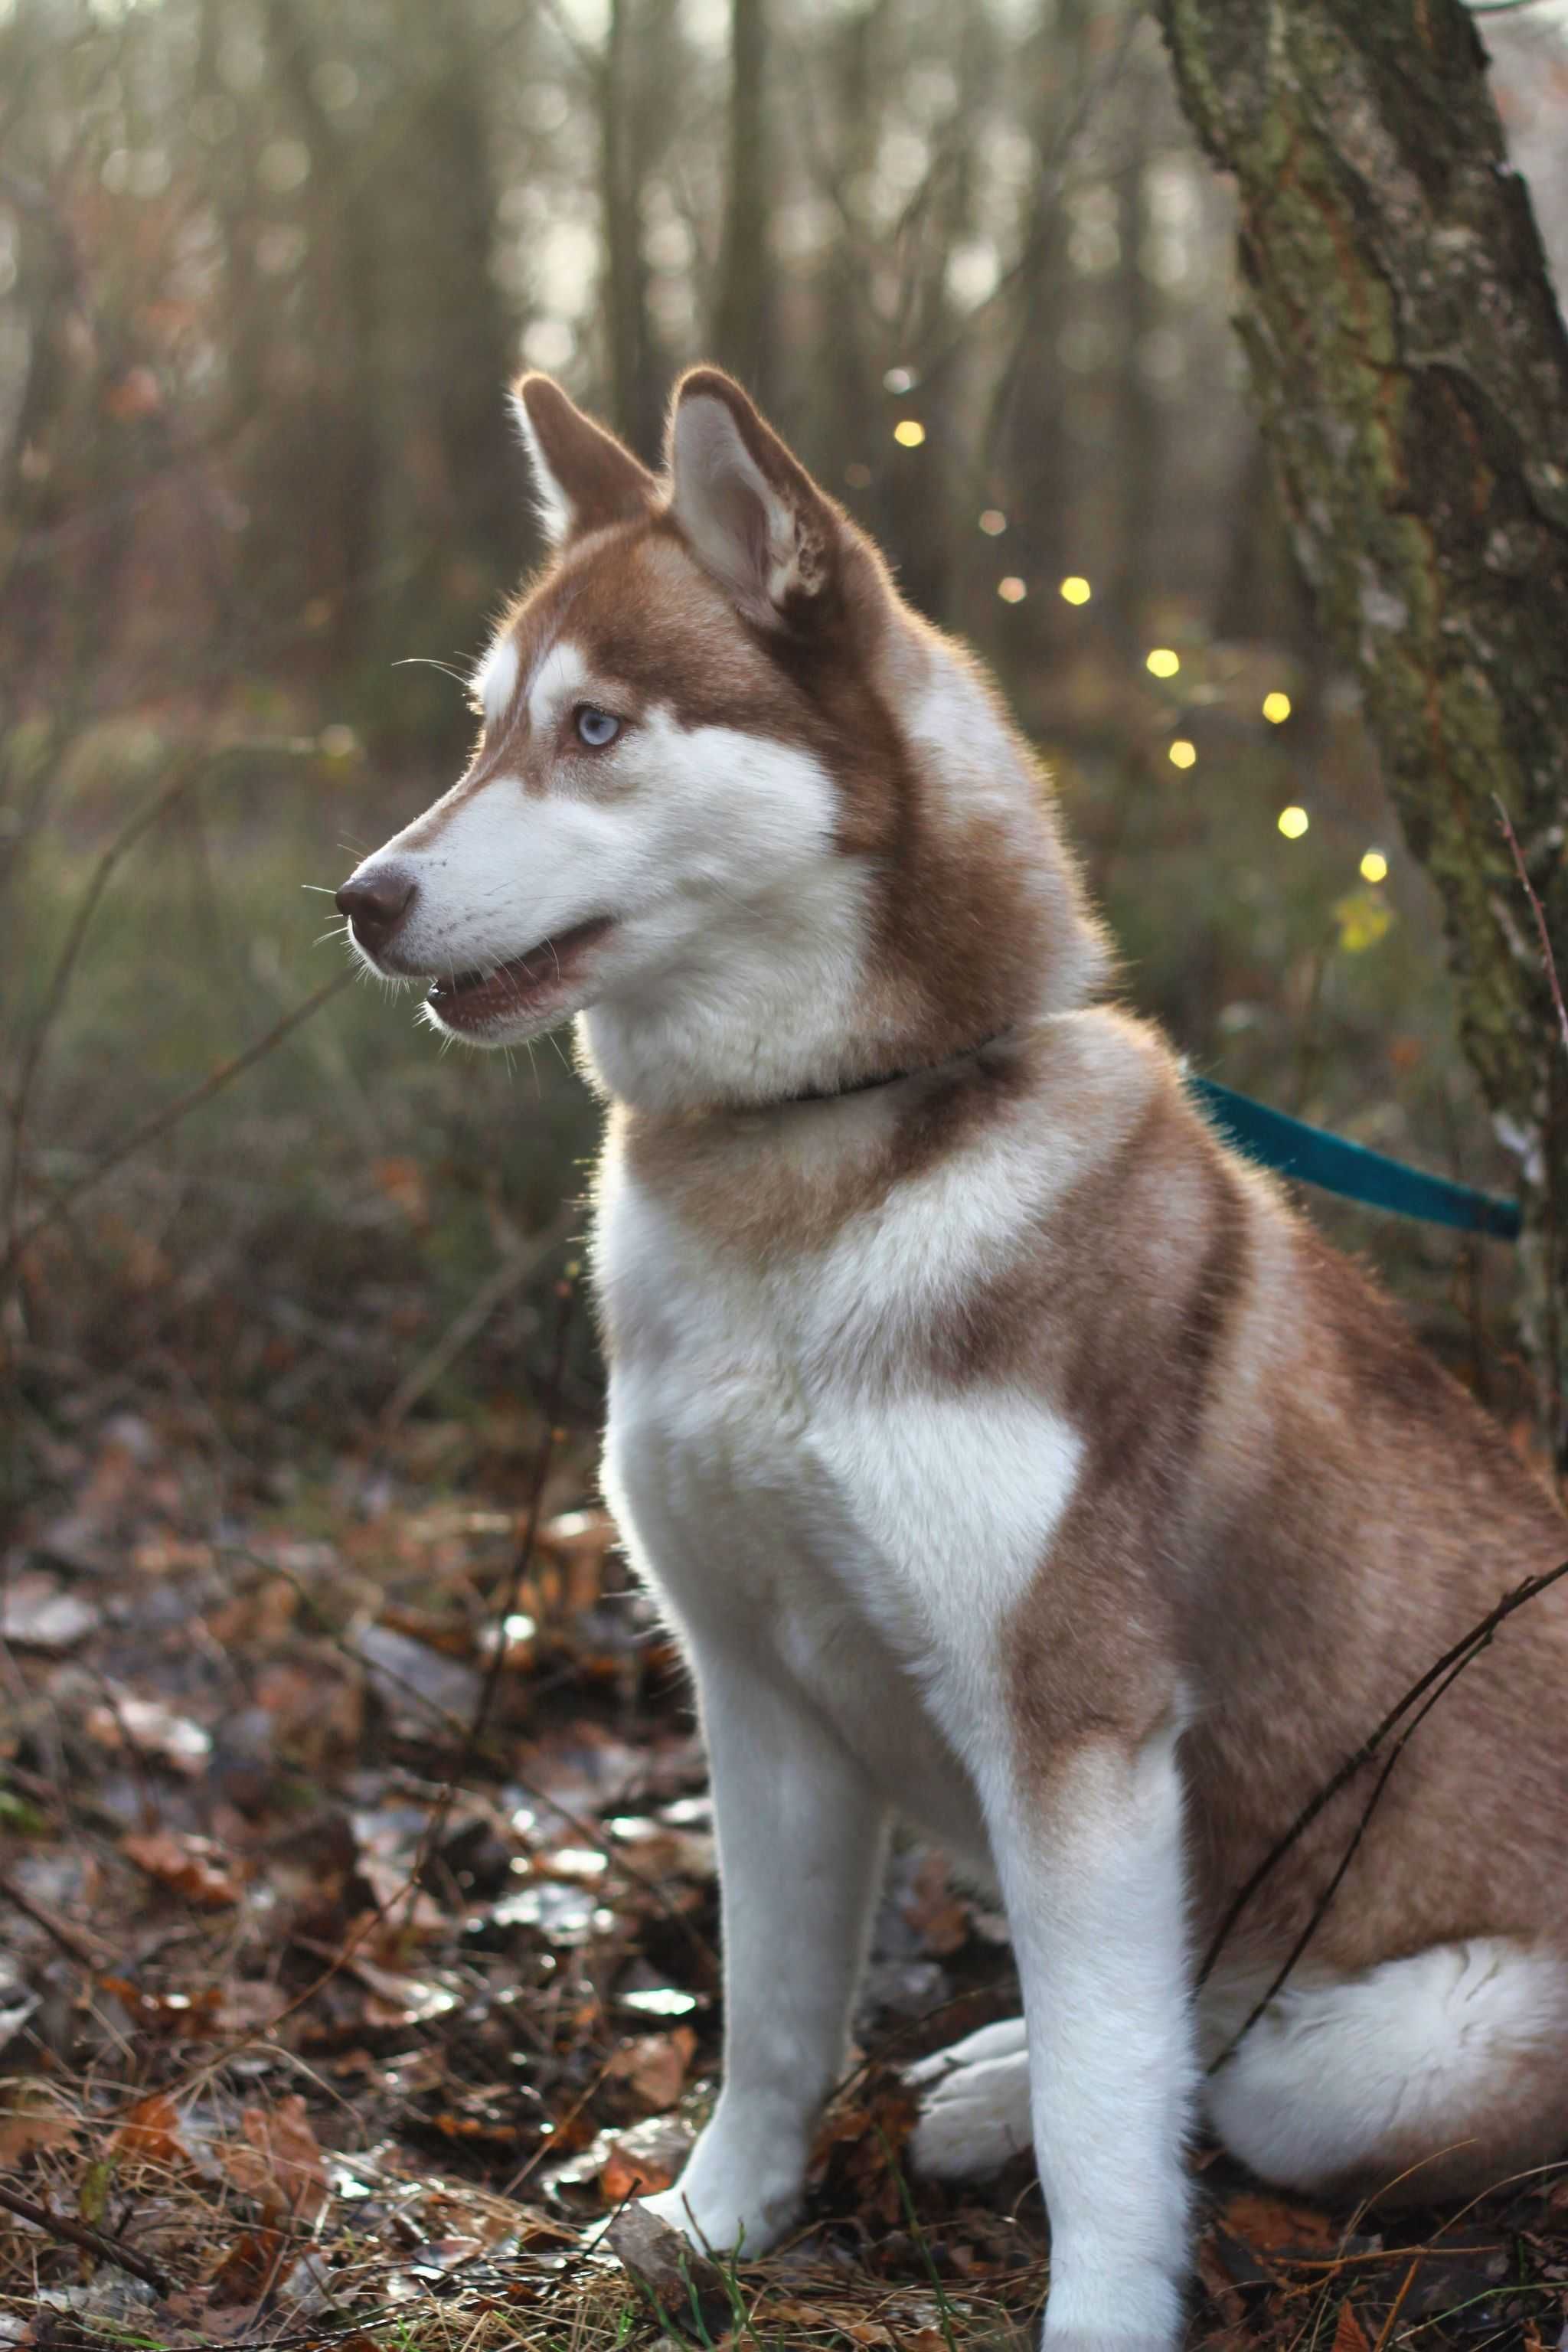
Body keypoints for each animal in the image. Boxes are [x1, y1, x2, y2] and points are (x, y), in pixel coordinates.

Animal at [338, 371, 1568, 2352]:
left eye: (595, 728)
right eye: (482, 731)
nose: (363, 897)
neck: (814, 1162)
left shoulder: (1074, 1729)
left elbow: (1107, 2103)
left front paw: (1099, 2311)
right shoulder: (750, 1688)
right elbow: (770, 2015)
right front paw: (716, 2220)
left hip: (1398, 2048)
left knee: (1225, 2071)